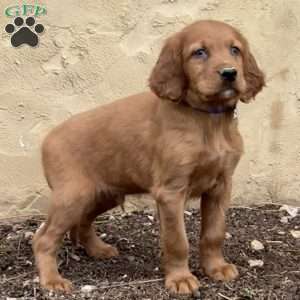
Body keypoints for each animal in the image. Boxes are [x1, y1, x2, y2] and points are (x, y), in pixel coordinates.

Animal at [33, 20, 264, 296]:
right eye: (199, 52)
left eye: (235, 50)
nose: (230, 73)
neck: (208, 119)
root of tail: (48, 138)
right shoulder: (171, 192)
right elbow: (177, 240)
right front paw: (180, 279)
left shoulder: (220, 186)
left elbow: (214, 232)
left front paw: (216, 268)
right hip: (72, 196)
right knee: (43, 238)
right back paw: (52, 280)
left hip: (103, 194)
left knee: (82, 222)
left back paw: (98, 250)